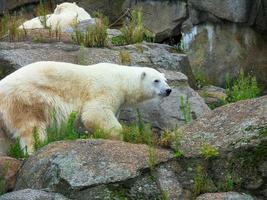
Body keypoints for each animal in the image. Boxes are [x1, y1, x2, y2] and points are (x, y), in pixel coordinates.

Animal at [0, 61, 172, 153]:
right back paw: (37, 147)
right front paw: (118, 138)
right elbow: (95, 113)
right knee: (32, 128)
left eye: (165, 80)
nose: (169, 90)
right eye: (156, 80)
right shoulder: (105, 88)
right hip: (25, 100)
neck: (122, 79)